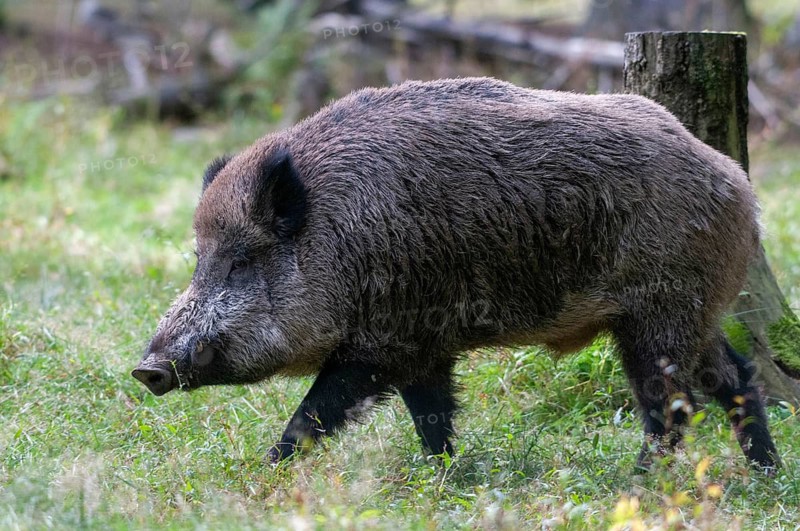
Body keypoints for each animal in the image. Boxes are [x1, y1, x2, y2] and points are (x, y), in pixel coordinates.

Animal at [132, 77, 779, 472]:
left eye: (242, 260)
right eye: (198, 259)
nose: (147, 368)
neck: (337, 240)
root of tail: (739, 188)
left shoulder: (385, 341)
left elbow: (315, 413)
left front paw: (267, 472)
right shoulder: (423, 347)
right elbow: (433, 418)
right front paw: (444, 478)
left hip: (659, 311)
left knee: (673, 406)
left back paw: (639, 486)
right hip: (689, 311)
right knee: (734, 376)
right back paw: (764, 472)